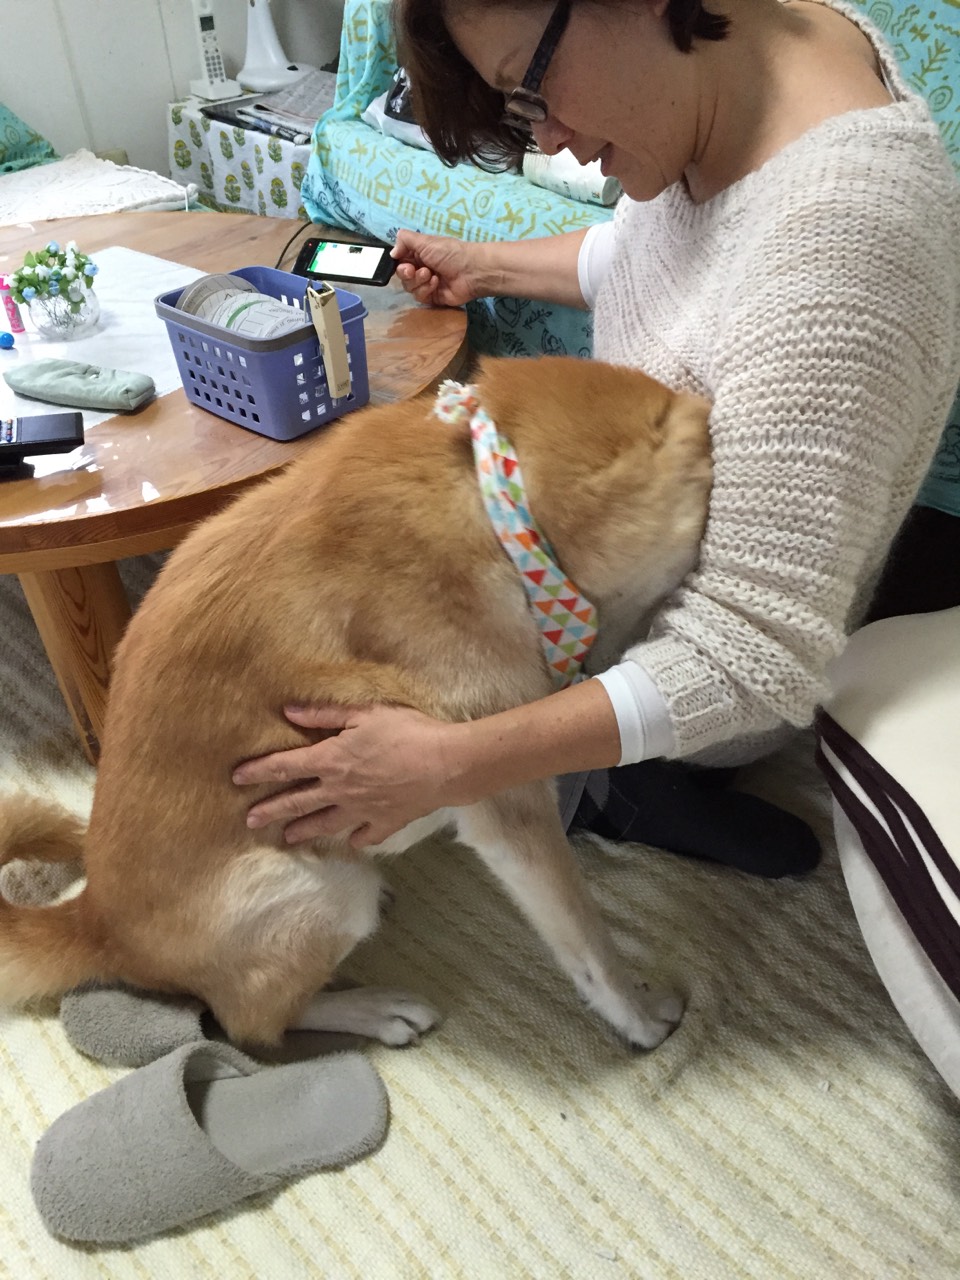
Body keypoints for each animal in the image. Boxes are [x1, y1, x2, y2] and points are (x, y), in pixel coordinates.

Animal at [0, 356, 711, 1052]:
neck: (491, 488)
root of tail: (96, 923)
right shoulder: (507, 802)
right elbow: (591, 948)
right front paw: (641, 1016)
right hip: (326, 892)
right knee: (249, 1026)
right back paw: (371, 1008)